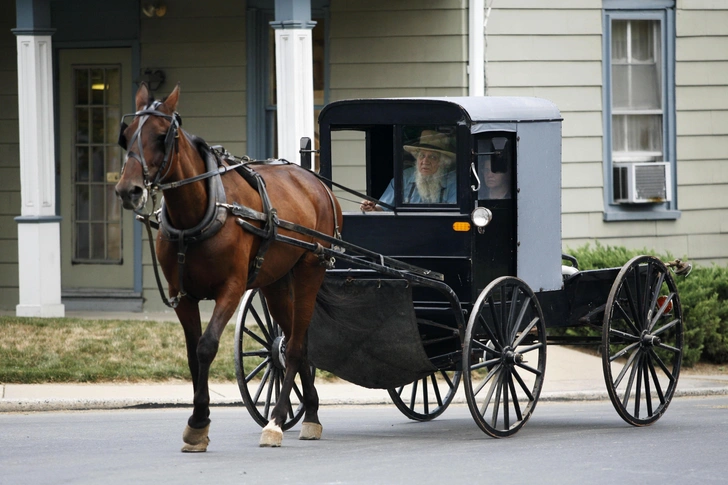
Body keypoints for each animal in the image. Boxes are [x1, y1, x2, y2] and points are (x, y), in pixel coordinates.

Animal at [115, 83, 342, 450]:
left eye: (163, 136)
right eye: (125, 136)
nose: (128, 190)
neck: (199, 212)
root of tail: (315, 181)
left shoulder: (232, 289)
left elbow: (207, 346)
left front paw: (198, 422)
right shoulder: (182, 295)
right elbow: (192, 355)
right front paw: (198, 422)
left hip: (311, 268)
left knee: (293, 347)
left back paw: (277, 420)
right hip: (275, 280)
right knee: (293, 341)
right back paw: (310, 414)